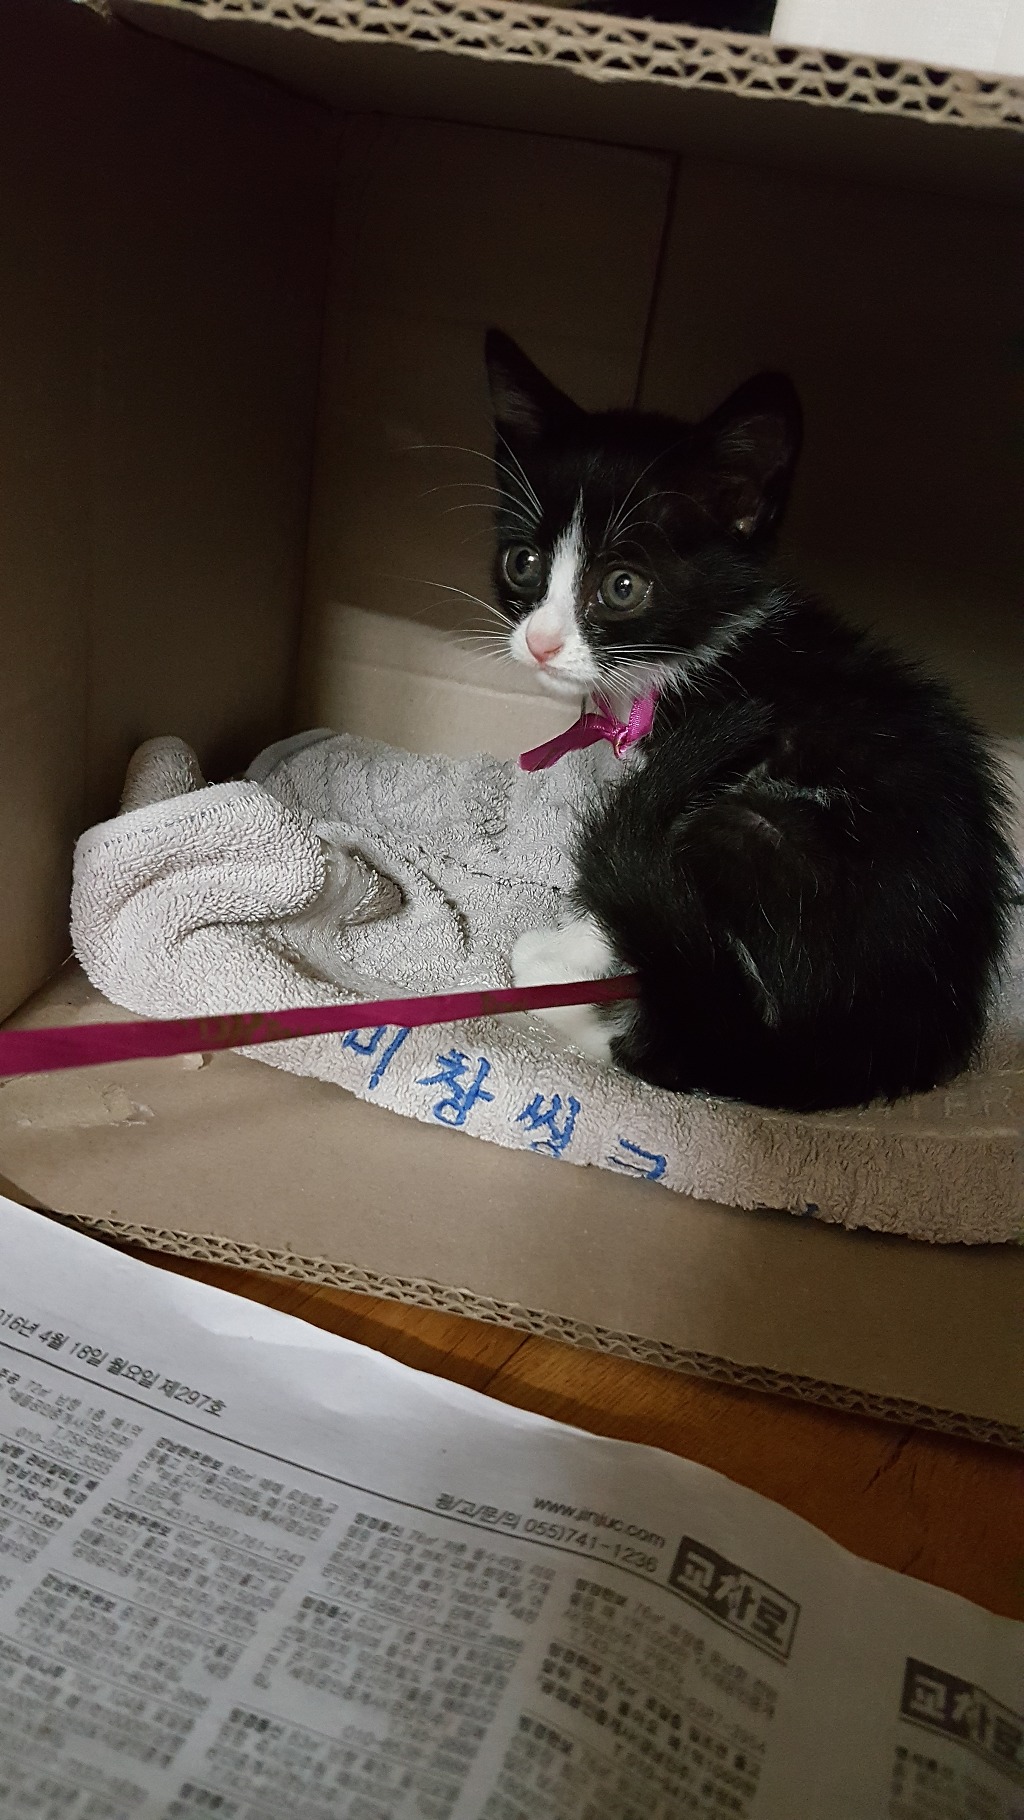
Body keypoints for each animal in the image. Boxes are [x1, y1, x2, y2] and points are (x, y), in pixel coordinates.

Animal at [484, 329, 1016, 1112]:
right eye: (522, 563)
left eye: (622, 586)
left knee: (684, 1038)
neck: (703, 648)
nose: (541, 643)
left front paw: (571, 944)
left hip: (750, 828)